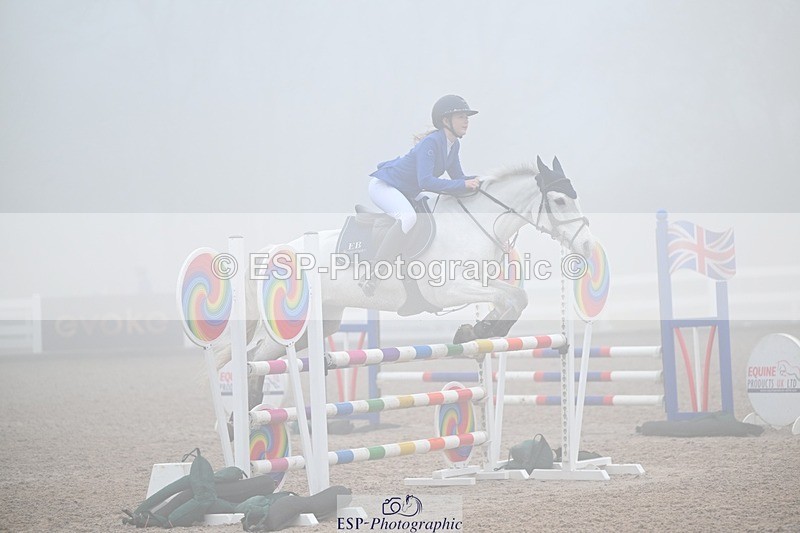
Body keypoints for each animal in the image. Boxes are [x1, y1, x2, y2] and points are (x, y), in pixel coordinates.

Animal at [215, 156, 595, 407]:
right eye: (559, 199)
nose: (588, 246)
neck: (471, 226)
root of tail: (276, 251)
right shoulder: (447, 290)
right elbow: (508, 299)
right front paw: (478, 330)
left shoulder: (480, 284)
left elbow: (516, 297)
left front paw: (477, 331)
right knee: (254, 356)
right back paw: (241, 417)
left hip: (321, 322)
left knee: (260, 357)